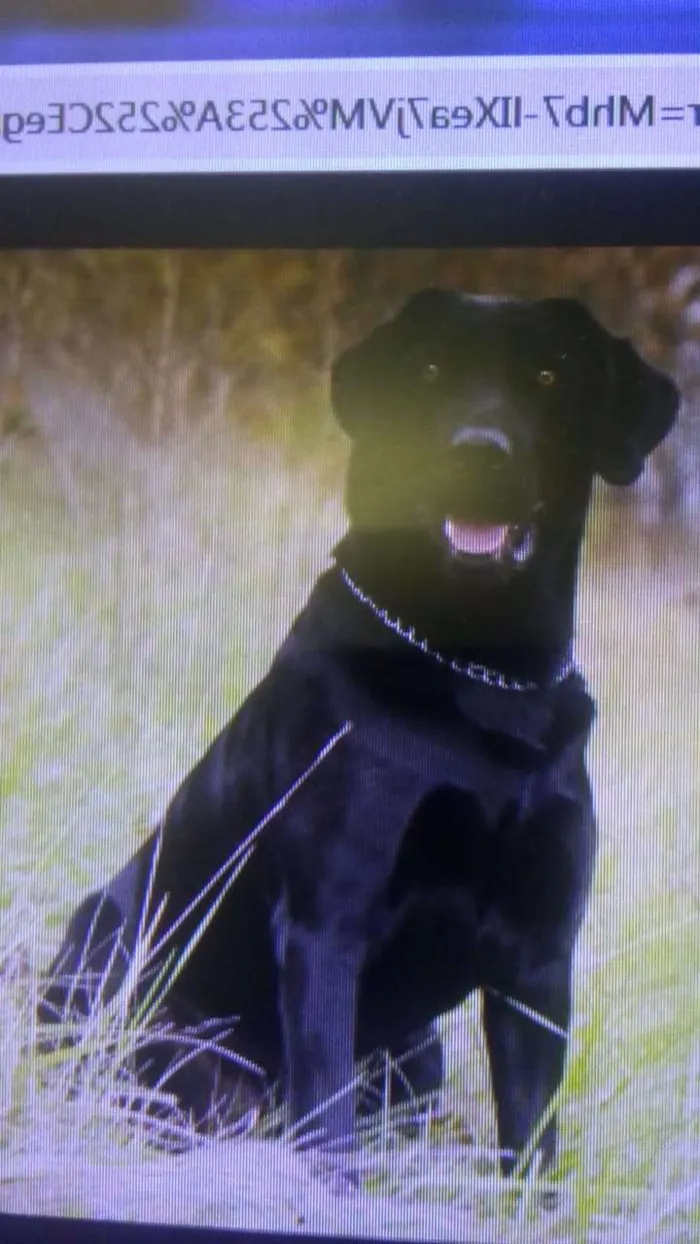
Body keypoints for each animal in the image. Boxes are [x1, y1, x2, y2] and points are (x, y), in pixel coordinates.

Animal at [39, 291, 681, 1174]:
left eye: (551, 376)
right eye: (431, 371)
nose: (477, 453)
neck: (481, 674)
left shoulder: (540, 955)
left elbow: (533, 1146)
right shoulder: (326, 921)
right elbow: (327, 1114)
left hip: (417, 1056)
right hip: (155, 1014)